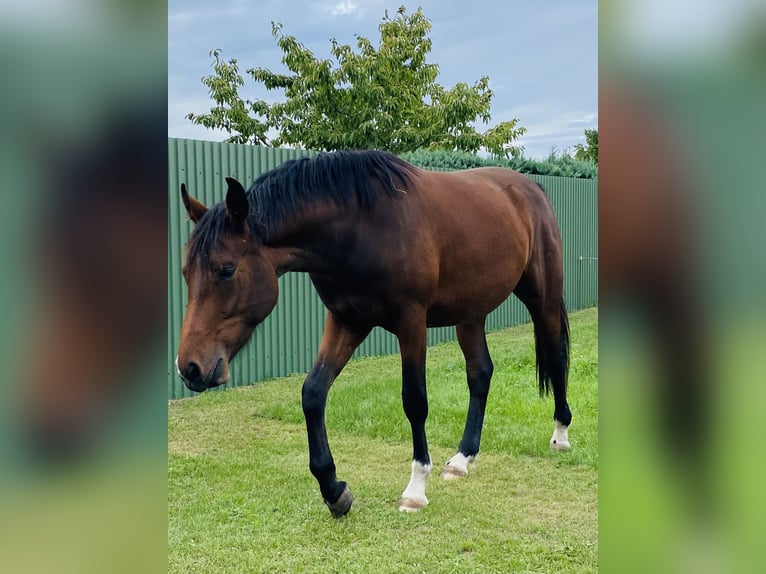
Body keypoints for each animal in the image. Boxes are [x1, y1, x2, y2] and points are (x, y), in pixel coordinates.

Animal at [176, 150, 572, 516]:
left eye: (226, 270)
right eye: (186, 273)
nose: (190, 368)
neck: (361, 225)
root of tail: (531, 189)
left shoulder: (410, 322)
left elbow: (414, 400)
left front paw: (415, 489)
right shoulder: (346, 320)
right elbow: (313, 393)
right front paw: (334, 489)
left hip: (543, 298)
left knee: (556, 355)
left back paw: (561, 435)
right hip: (470, 313)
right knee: (480, 373)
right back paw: (462, 458)